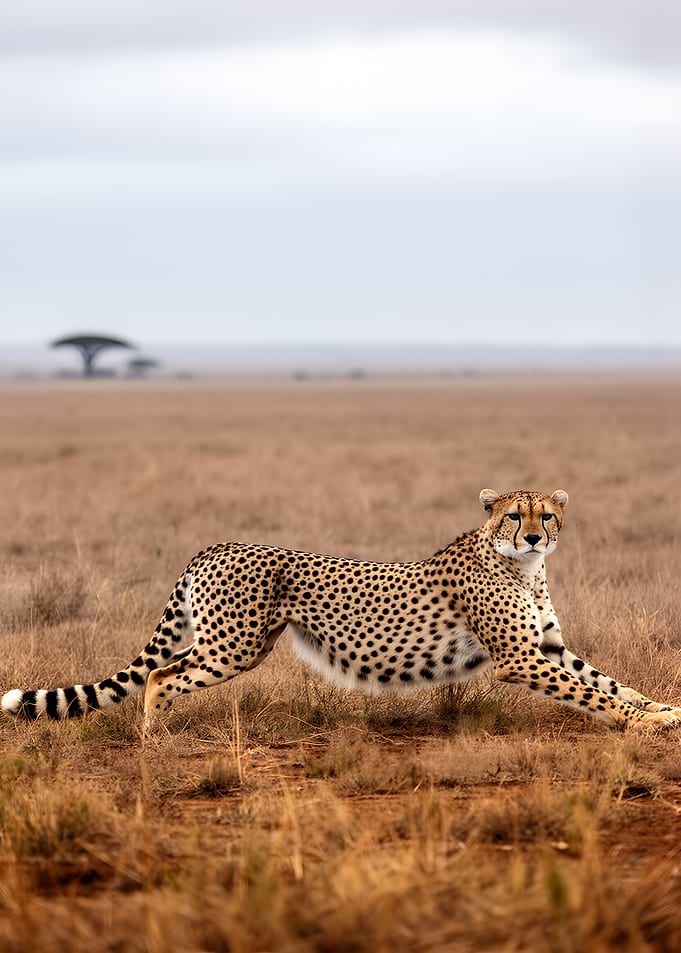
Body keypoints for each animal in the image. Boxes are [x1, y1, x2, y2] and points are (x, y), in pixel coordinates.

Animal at [3, 488, 679, 733]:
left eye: (547, 514)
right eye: (515, 514)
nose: (536, 536)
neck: (522, 566)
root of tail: (213, 545)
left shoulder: (548, 646)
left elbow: (607, 680)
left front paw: (660, 710)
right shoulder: (520, 657)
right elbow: (591, 692)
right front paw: (641, 725)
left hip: (235, 642)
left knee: (163, 671)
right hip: (233, 646)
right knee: (164, 676)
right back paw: (154, 735)